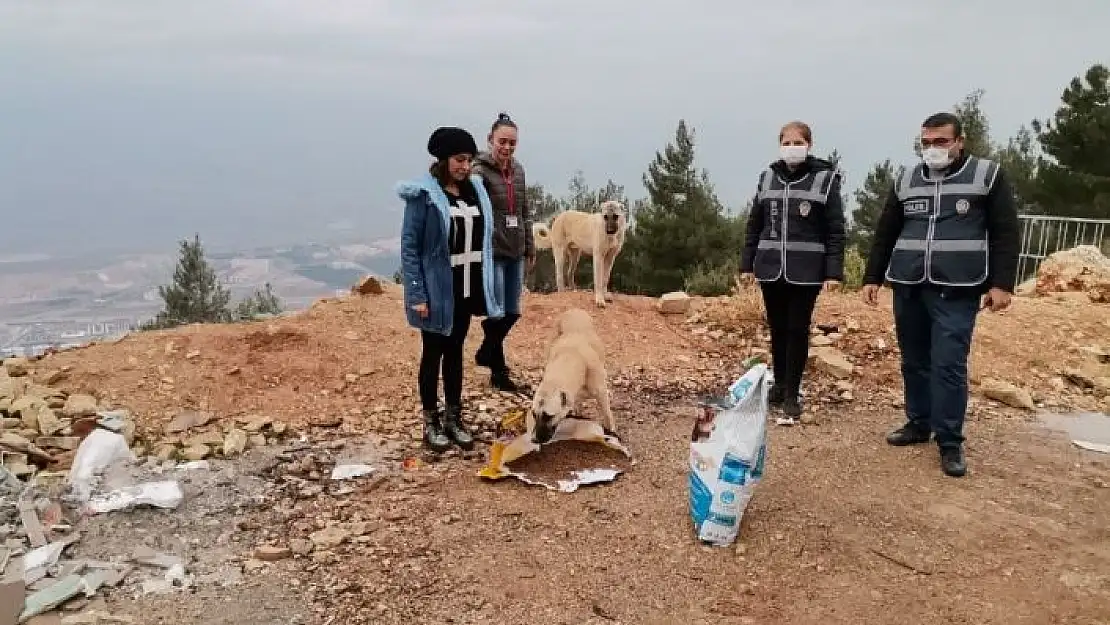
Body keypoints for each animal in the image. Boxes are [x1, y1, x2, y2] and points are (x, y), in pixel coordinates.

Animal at [528, 308, 617, 444]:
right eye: (533, 414)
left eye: (548, 416)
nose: (533, 440)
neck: (571, 355)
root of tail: (574, 310)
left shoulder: (601, 393)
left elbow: (607, 412)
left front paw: (611, 429)